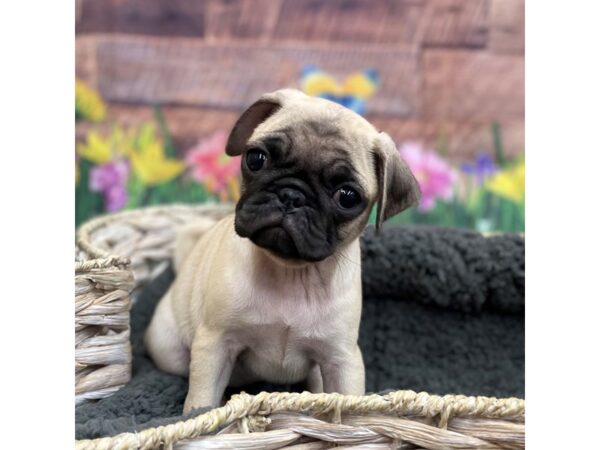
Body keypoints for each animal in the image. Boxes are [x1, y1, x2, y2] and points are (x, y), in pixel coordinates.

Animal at [145, 87, 420, 412]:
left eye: (348, 196)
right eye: (256, 159)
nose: (292, 195)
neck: (291, 274)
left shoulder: (341, 359)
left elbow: (347, 399)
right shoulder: (216, 342)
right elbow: (202, 397)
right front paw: (200, 414)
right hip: (170, 349)